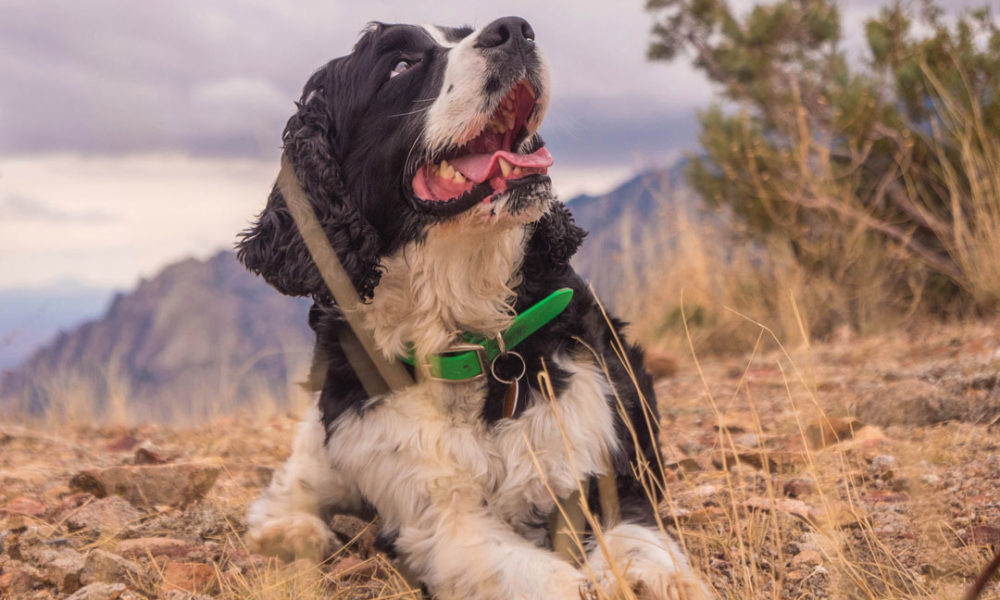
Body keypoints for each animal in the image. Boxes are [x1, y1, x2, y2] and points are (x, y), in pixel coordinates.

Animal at [237, 16, 708, 596]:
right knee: (297, 482)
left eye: (464, 31)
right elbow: (539, 577)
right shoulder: (439, 514)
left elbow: (637, 538)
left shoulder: (610, 452)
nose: (515, 29)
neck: (472, 336)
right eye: (400, 65)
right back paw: (290, 531)